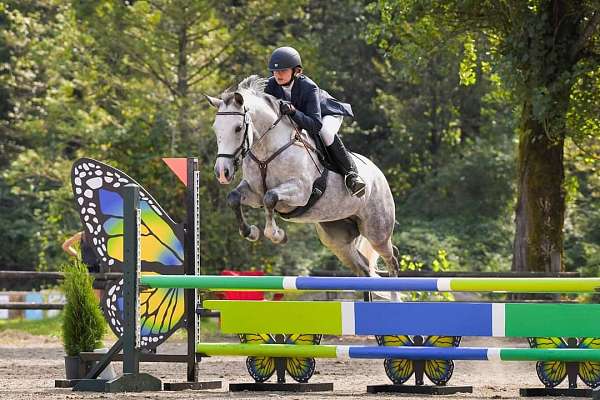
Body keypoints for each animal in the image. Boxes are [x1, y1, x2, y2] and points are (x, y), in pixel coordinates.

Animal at [206, 76, 398, 278]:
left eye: (238, 128)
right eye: (215, 129)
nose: (222, 172)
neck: (266, 150)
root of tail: (378, 174)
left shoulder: (300, 192)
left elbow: (270, 198)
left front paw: (277, 235)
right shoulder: (254, 192)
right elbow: (234, 198)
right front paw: (251, 232)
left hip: (377, 231)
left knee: (391, 259)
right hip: (335, 237)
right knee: (363, 267)